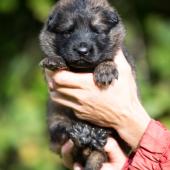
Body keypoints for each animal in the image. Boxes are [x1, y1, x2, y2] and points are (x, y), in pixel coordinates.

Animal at [39, 0, 133, 169]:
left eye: (97, 32)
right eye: (67, 32)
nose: (82, 50)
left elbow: (109, 58)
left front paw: (105, 68)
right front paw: (54, 59)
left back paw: (95, 136)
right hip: (56, 118)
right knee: (63, 135)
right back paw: (80, 135)